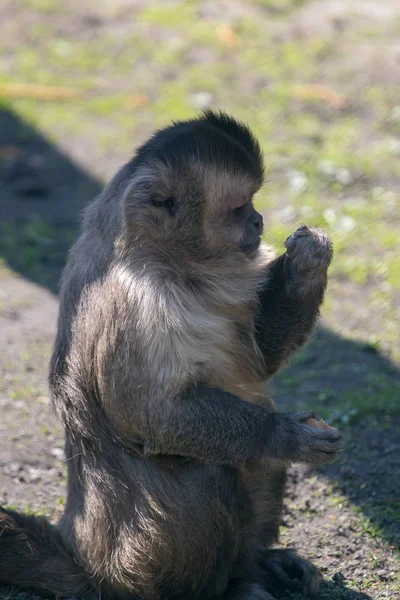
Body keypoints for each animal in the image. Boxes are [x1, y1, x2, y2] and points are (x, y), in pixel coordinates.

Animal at [1, 110, 342, 596]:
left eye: (253, 203)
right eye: (238, 208)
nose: (259, 220)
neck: (168, 262)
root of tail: (89, 562)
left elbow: (262, 358)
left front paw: (308, 260)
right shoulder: (134, 303)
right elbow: (152, 415)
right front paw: (286, 435)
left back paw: (254, 565)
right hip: (140, 559)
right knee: (210, 472)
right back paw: (223, 588)